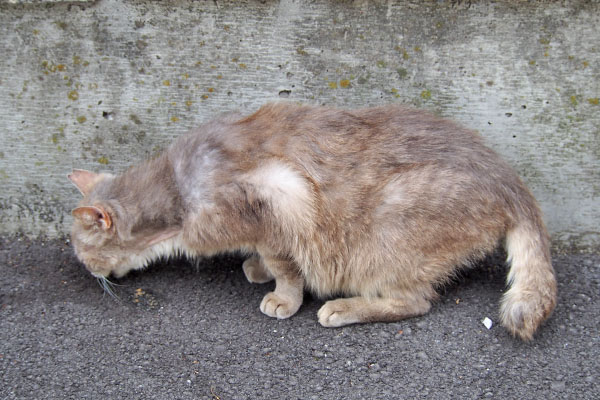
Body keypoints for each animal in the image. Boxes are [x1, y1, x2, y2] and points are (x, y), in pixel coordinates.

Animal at [69, 101, 556, 340]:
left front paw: (282, 296)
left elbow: (285, 266)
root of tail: (511, 181)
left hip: (388, 238)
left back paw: (342, 308)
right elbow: (267, 259)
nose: (87, 271)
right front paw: (256, 268)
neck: (178, 191)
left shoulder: (279, 202)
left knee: (415, 301)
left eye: (80, 248)